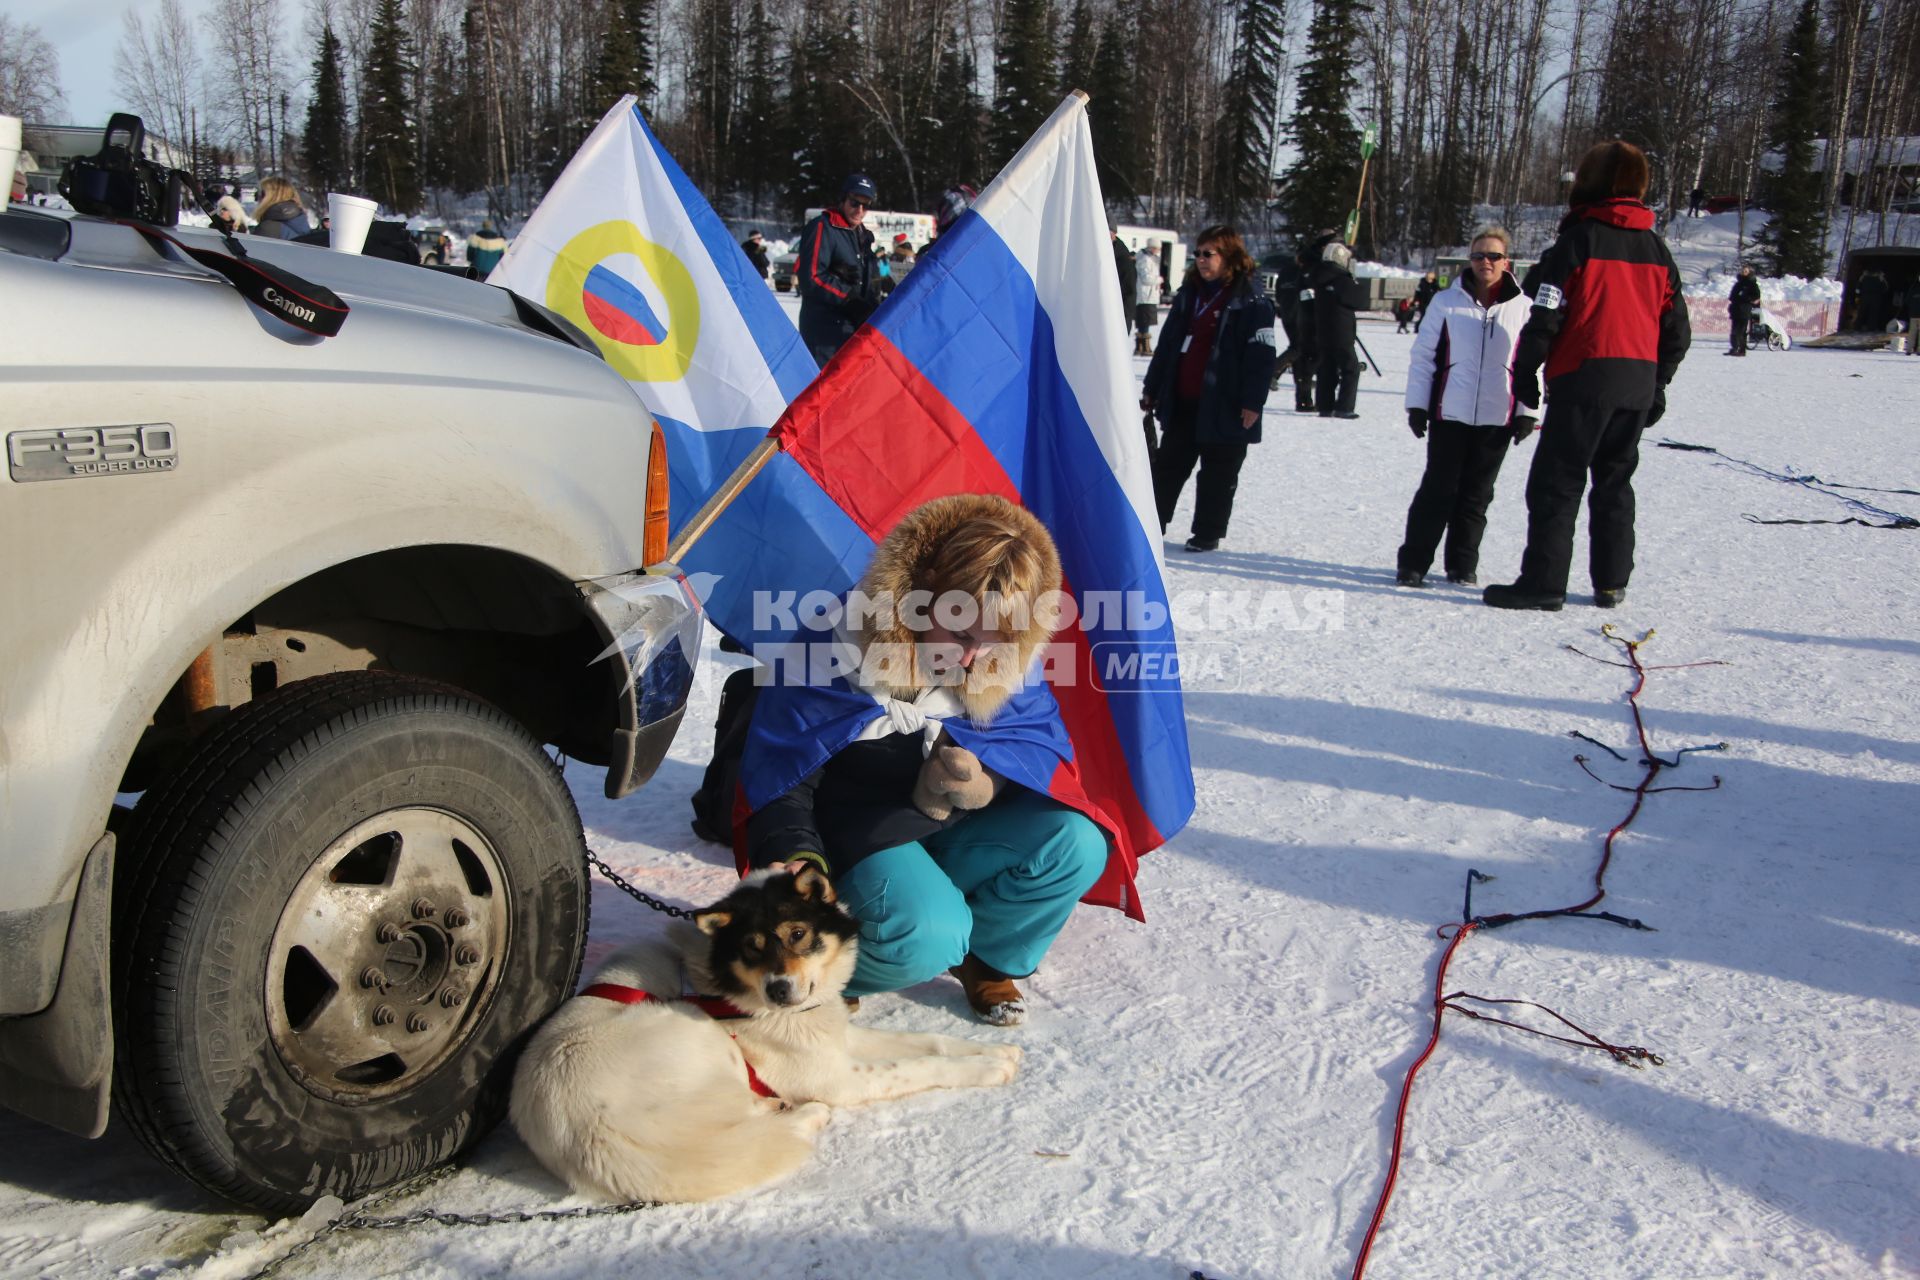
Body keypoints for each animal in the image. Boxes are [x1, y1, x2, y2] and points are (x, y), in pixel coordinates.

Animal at [506, 867, 1021, 1205]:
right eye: (752, 948)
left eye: (797, 934)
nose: (778, 989)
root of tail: (587, 1139)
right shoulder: (837, 1077)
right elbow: (919, 1065)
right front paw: (986, 1069)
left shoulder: (836, 1041)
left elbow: (931, 1042)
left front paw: (996, 1051)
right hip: (696, 1036)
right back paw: (798, 1112)